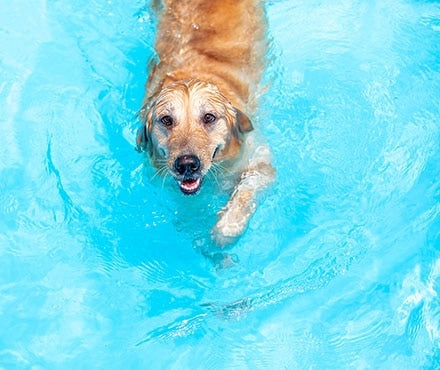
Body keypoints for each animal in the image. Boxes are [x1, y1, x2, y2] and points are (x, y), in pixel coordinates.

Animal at [138, 0, 276, 249]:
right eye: (166, 120)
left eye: (209, 117)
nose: (187, 165)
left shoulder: (260, 162)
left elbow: (245, 191)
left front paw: (225, 227)